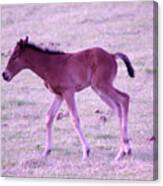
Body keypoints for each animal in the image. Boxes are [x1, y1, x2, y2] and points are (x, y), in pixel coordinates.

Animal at [2, 36, 134, 161]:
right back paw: (123, 152)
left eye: (14, 57)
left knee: (124, 98)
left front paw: (86, 152)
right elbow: (49, 117)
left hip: (102, 85)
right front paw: (46, 152)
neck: (49, 65)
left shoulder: (68, 92)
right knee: (117, 107)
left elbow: (74, 119)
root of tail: (112, 55)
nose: (4, 75)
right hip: (99, 89)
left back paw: (124, 150)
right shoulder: (59, 95)